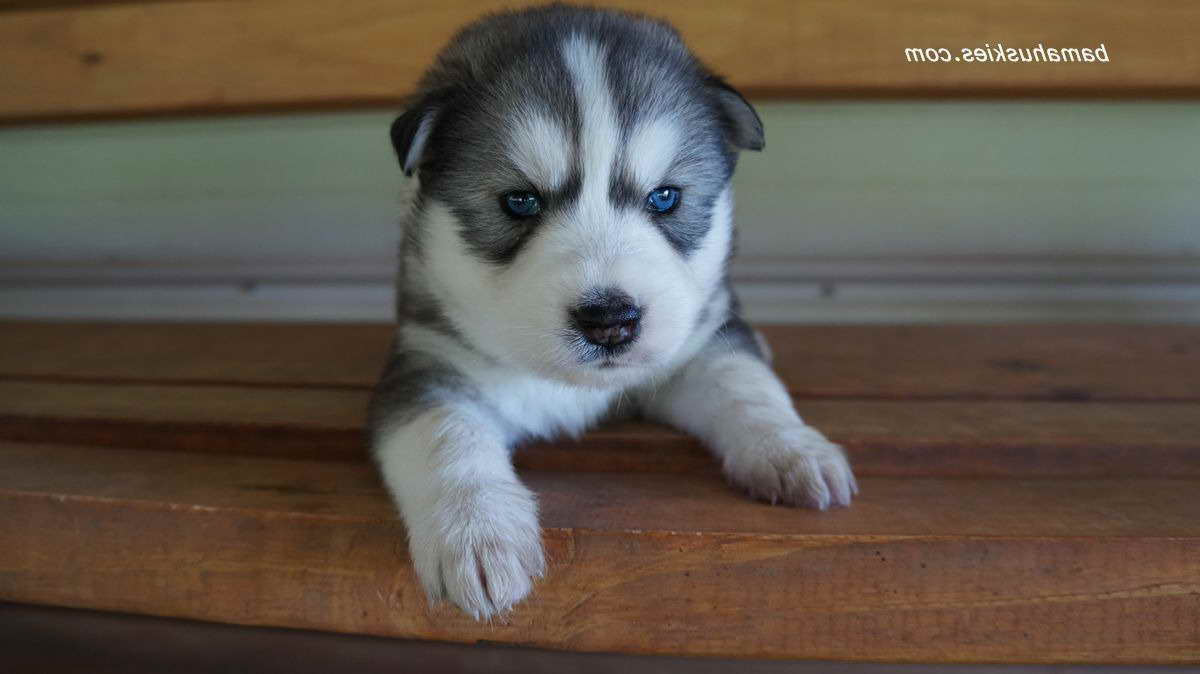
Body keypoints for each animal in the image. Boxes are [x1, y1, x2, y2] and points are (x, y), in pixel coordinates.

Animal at [369, 3, 859, 618]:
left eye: (665, 197)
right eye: (520, 201)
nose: (610, 321)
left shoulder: (698, 348)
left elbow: (745, 383)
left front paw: (792, 447)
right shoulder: (427, 362)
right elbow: (445, 434)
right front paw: (477, 532)